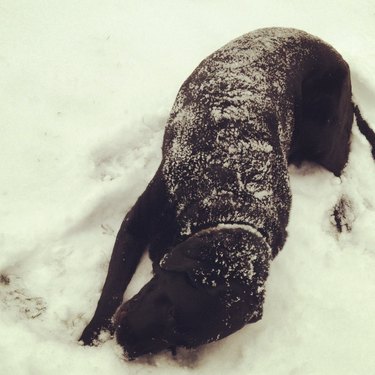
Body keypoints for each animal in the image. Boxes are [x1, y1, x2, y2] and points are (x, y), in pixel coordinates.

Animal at [78, 27, 374, 360]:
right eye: (170, 308)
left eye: (184, 340)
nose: (124, 347)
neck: (229, 200)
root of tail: (338, 55)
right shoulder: (137, 221)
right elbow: (112, 287)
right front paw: (91, 336)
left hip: (326, 133)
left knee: (343, 171)